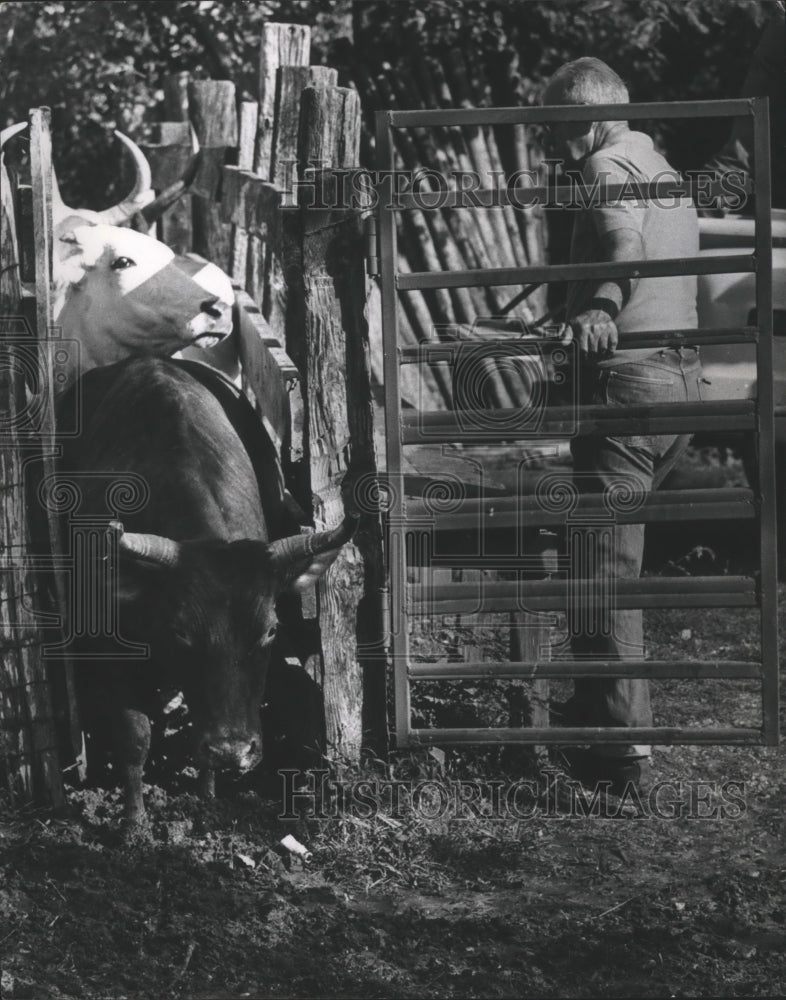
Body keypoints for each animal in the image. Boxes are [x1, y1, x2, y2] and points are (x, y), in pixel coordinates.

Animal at [59, 356, 354, 832]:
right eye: (181, 632)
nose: (234, 752)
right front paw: (133, 821)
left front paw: (208, 795)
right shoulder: (106, 647)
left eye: (271, 631)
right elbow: (133, 736)